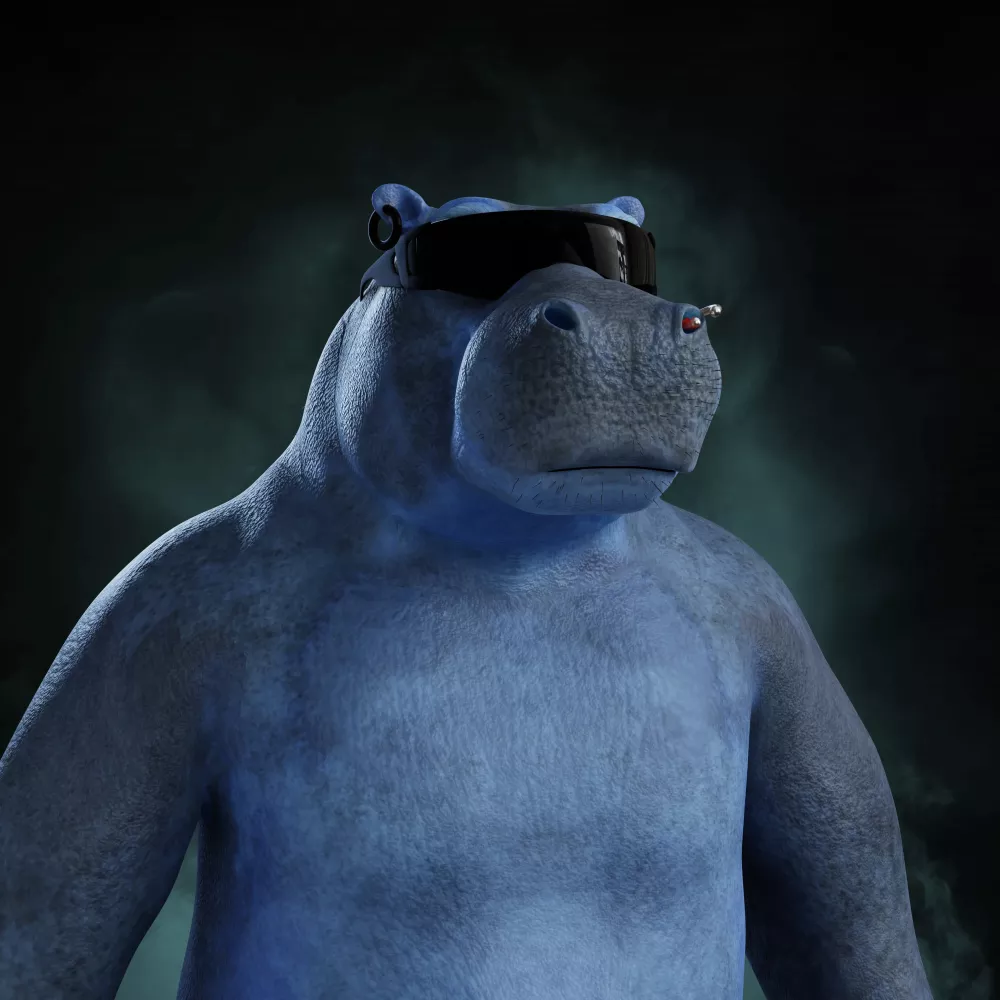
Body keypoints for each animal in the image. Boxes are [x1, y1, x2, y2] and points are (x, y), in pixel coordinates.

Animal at [0, 184, 932, 999]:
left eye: (630, 250)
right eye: (468, 247)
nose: (627, 324)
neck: (518, 562)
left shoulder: (762, 608)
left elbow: (848, 902)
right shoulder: (152, 614)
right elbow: (45, 907)